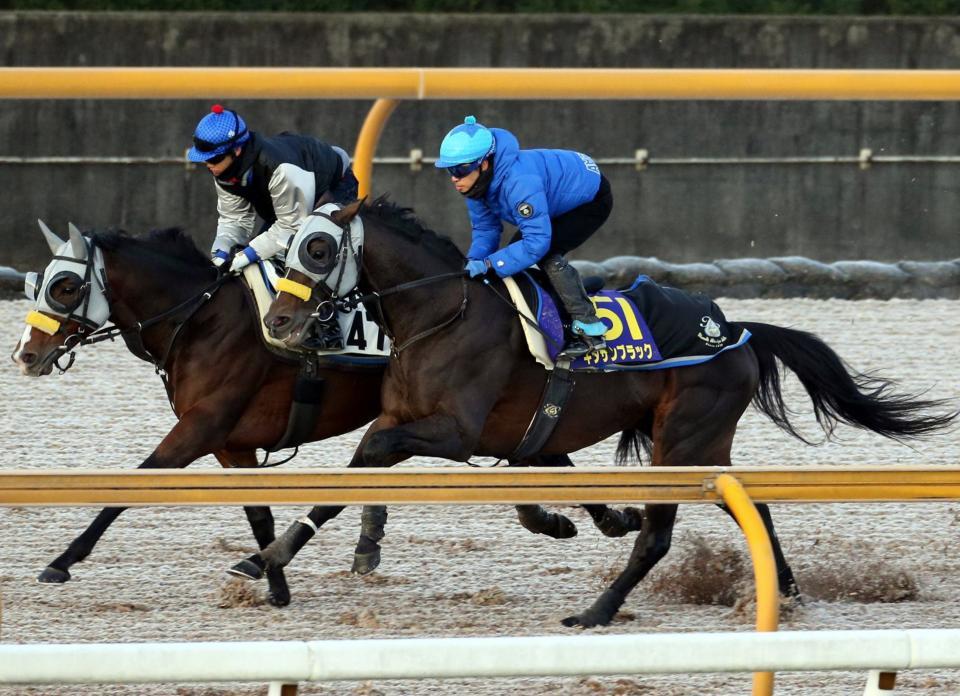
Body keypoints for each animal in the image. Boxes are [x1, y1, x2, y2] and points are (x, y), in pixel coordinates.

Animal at [11, 222, 640, 604]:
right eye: (36, 282)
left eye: (64, 286)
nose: (25, 354)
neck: (201, 319)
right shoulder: (231, 442)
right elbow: (258, 514)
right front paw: (274, 581)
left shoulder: (201, 427)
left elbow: (131, 486)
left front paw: (63, 560)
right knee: (544, 451)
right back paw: (595, 518)